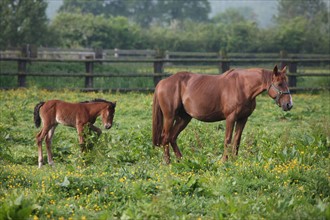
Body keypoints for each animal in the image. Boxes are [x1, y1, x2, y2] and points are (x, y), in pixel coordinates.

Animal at [153, 65, 292, 163]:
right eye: (279, 84)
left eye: (287, 82)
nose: (289, 104)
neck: (242, 86)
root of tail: (162, 82)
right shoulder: (230, 118)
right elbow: (228, 140)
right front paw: (224, 161)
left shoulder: (243, 119)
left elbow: (237, 140)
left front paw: (235, 161)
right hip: (169, 117)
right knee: (166, 137)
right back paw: (168, 162)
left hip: (184, 118)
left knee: (172, 137)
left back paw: (181, 160)